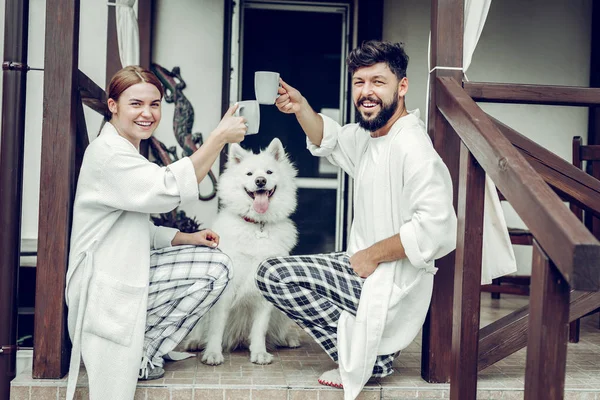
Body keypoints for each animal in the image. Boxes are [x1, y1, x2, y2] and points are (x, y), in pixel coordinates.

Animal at [178, 138, 300, 366]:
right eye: (250, 174)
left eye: (269, 172)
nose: (260, 181)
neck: (257, 225)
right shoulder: (225, 292)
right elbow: (216, 328)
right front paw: (213, 353)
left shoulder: (264, 293)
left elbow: (260, 328)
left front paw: (259, 353)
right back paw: (195, 342)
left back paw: (289, 339)